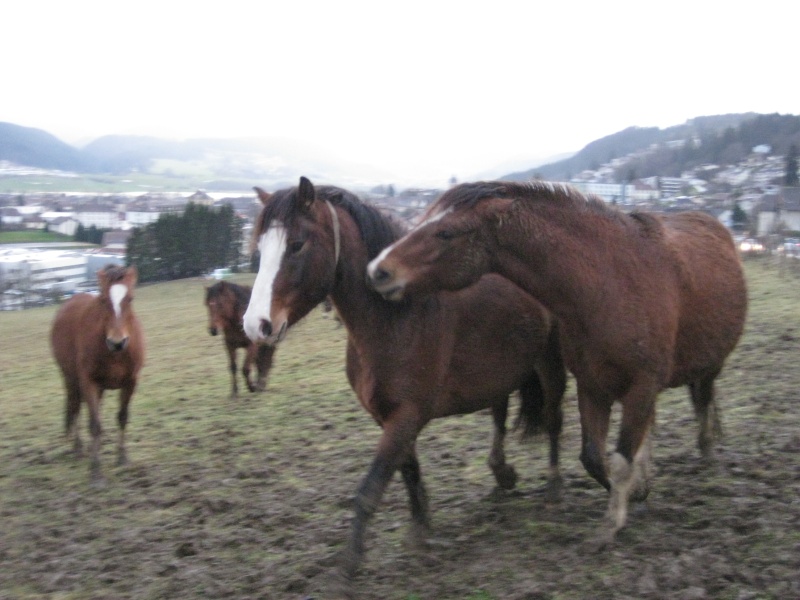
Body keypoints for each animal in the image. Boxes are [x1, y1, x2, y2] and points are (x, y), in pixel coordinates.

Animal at [50, 264, 146, 486]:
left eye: (130, 298)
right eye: (103, 299)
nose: (117, 342)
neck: (116, 354)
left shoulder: (131, 382)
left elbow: (122, 417)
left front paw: (122, 458)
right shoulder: (89, 382)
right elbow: (94, 424)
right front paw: (95, 471)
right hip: (71, 379)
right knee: (75, 406)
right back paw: (78, 447)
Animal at [241, 176, 564, 584]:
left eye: (297, 244)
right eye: (260, 247)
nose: (256, 325)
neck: (397, 316)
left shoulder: (407, 415)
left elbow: (371, 487)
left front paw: (348, 567)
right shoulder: (388, 416)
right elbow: (409, 471)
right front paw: (420, 530)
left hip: (550, 365)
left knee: (553, 421)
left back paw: (553, 489)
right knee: (500, 414)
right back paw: (502, 474)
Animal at [368, 180, 752, 548]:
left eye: (445, 232)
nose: (378, 270)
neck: (609, 284)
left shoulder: (642, 386)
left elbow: (620, 461)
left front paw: (612, 523)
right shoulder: (592, 386)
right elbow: (594, 457)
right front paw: (634, 495)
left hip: (708, 366)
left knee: (702, 400)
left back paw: (706, 449)